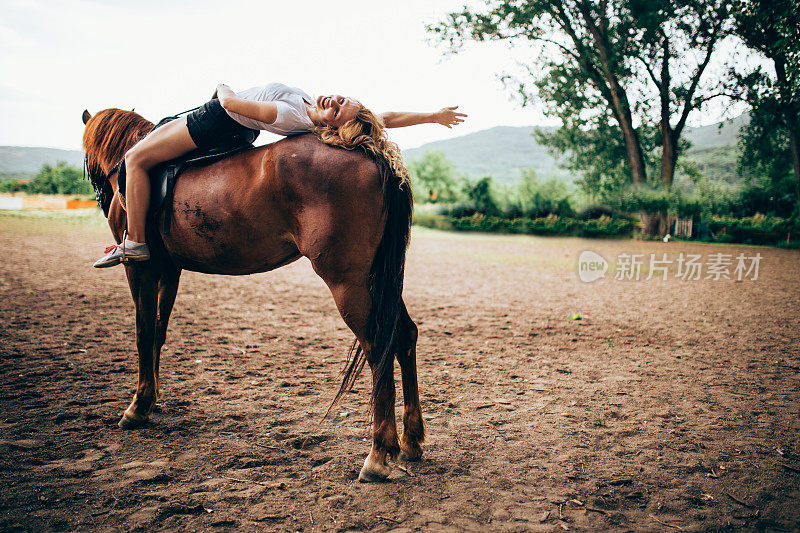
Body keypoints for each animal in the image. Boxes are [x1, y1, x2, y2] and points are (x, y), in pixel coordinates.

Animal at [83, 108, 424, 482]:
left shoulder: (141, 269)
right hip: (379, 280)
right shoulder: (170, 270)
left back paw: (377, 455)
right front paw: (151, 400)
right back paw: (410, 441)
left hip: (350, 283)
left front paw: (137, 406)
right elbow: (158, 333)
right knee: (403, 335)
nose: (101, 197)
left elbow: (143, 333)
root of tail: (372, 152)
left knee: (378, 347)